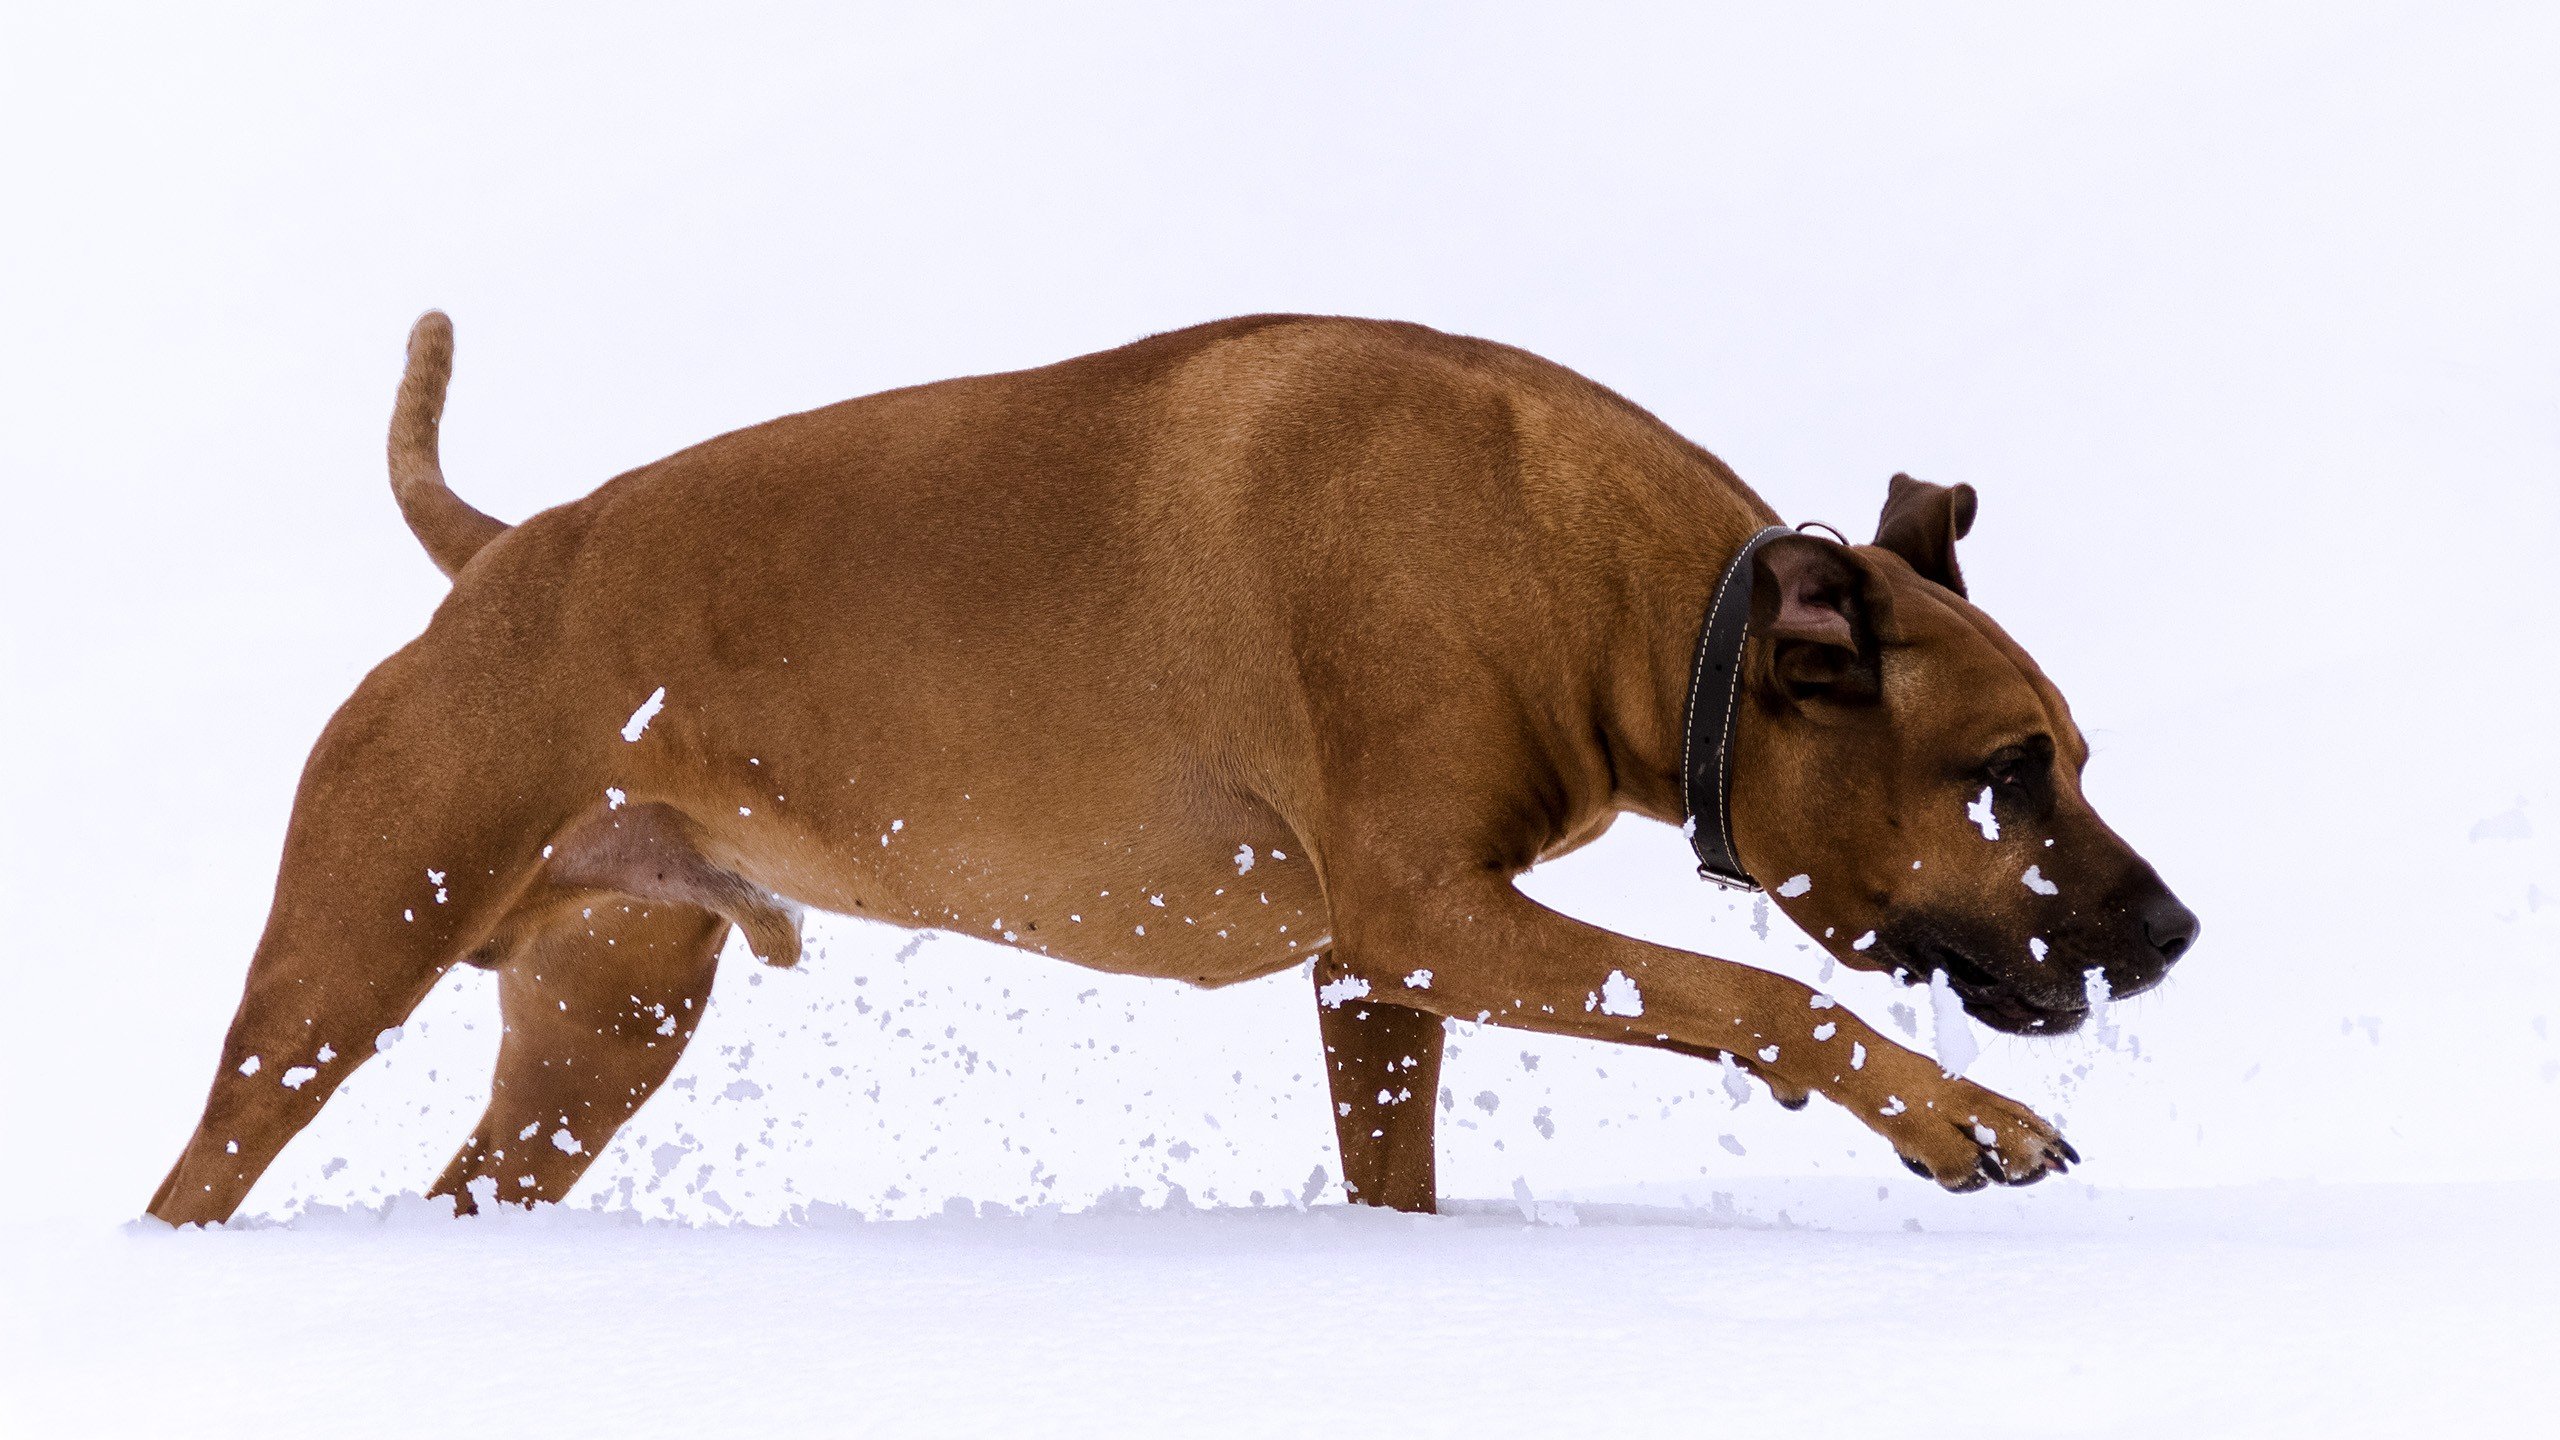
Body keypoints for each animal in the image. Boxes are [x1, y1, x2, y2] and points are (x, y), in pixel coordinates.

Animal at [140, 308, 2191, 1214]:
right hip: (350, 954)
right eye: (2010, 769)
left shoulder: (1377, 974)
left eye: (2076, 754)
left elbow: (1400, 1159)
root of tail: (496, 553)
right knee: (213, 1160)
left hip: (601, 1026)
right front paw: (1955, 1116)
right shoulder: (1429, 915)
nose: (2176, 933)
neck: (1612, 588)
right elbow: (1756, 992)